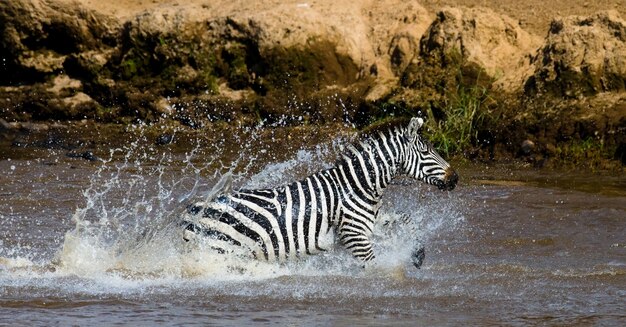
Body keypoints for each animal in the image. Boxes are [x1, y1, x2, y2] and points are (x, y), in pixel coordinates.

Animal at [178, 118, 456, 270]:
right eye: (426, 152)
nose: (455, 178)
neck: (357, 187)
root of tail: (191, 210)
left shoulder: (372, 222)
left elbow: (407, 219)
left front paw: (418, 255)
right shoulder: (354, 234)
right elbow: (374, 266)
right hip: (219, 251)